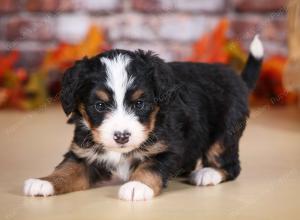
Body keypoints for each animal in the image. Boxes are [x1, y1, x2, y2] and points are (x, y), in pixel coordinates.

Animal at [24, 34, 262, 201]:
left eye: (140, 104)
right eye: (99, 106)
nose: (121, 136)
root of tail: (237, 78)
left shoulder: (168, 147)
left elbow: (150, 167)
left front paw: (137, 186)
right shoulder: (84, 152)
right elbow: (68, 169)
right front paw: (44, 182)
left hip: (225, 130)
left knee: (230, 164)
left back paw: (208, 174)